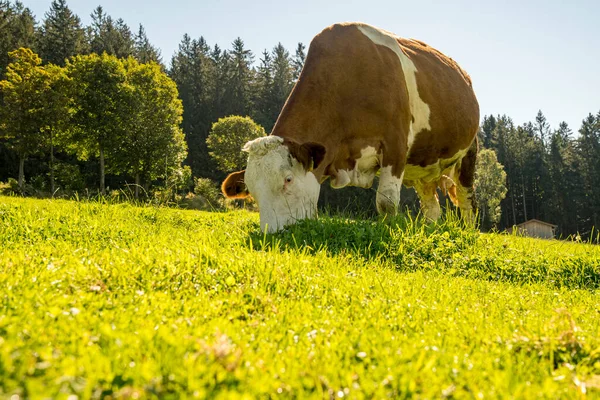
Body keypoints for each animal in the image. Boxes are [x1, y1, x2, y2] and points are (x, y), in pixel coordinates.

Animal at [220, 21, 478, 233]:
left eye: (288, 180)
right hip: (425, 168)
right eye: (252, 190)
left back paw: (469, 234)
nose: (273, 234)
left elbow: (386, 202)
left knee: (467, 203)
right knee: (432, 207)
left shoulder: (395, 144)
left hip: (468, 154)